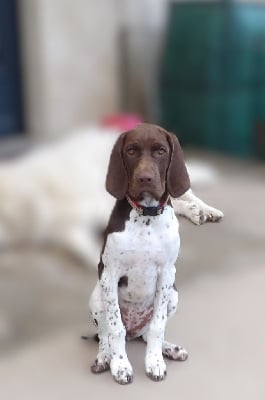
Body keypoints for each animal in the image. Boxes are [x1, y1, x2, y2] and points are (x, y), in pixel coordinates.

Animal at [89, 122, 223, 384]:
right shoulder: (109, 273)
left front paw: (154, 362)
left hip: (174, 294)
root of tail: (134, 331)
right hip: (97, 296)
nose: (145, 178)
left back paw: (169, 349)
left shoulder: (166, 274)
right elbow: (115, 328)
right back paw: (104, 357)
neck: (146, 216)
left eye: (161, 151)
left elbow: (157, 327)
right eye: (131, 150)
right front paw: (120, 365)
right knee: (106, 334)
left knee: (146, 333)